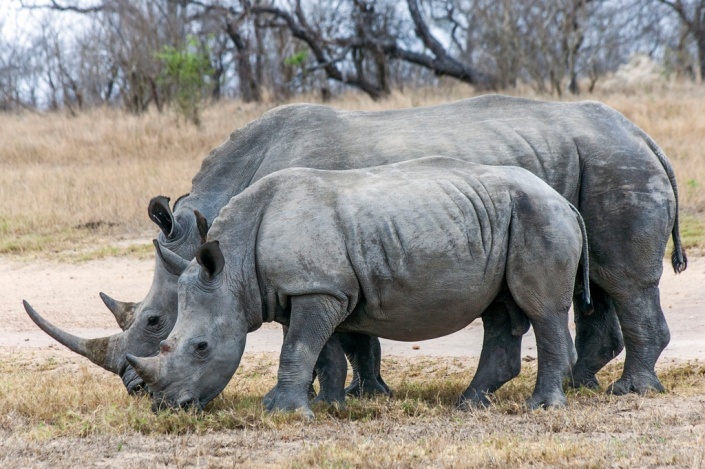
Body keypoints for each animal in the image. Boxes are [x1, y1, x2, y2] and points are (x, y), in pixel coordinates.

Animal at [124, 157, 591, 416]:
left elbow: (297, 347)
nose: (165, 407)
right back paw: (470, 403)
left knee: (541, 309)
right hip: (509, 218)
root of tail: (565, 201)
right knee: (499, 310)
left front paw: (284, 412)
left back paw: (542, 407)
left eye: (201, 347)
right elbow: (323, 351)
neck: (234, 268)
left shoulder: (317, 290)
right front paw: (328, 406)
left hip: (539, 216)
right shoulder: (313, 288)